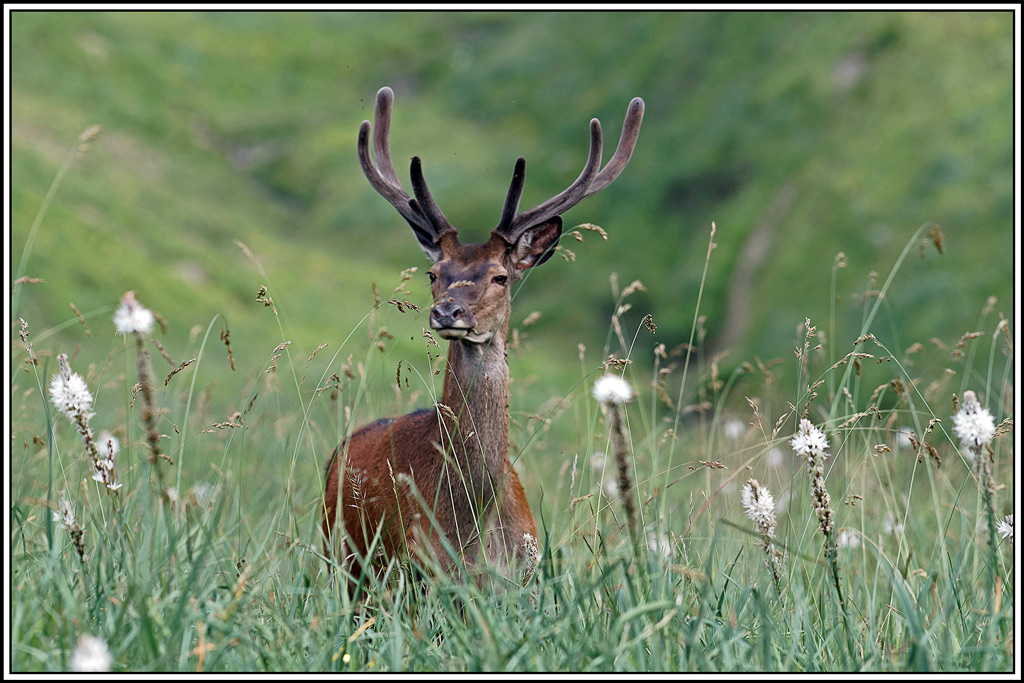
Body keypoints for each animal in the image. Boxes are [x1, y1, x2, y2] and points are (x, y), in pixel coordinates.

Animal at [322, 86, 644, 591]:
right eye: (434, 273)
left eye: (500, 276)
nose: (447, 311)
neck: (471, 533)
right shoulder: (415, 574)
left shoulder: (524, 577)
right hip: (345, 563)